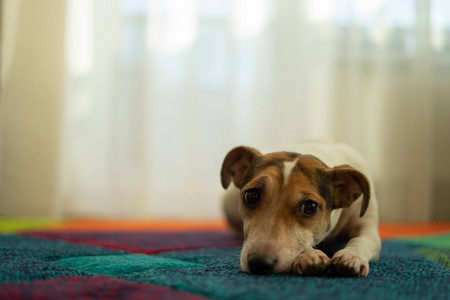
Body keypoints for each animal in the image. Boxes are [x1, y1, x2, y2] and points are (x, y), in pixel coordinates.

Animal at [221, 141, 380, 276]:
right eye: (252, 195)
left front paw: (351, 256)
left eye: (310, 207)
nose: (259, 262)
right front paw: (310, 254)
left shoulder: (368, 226)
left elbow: (361, 239)